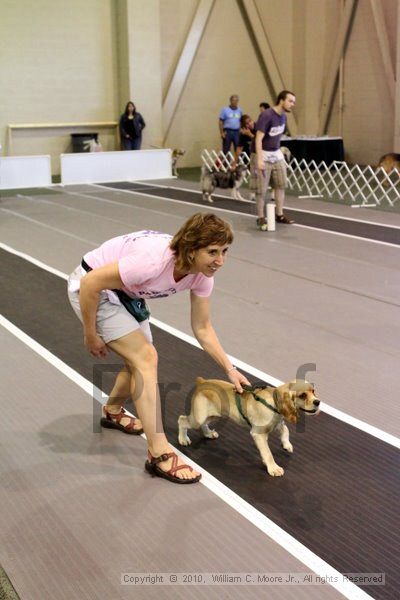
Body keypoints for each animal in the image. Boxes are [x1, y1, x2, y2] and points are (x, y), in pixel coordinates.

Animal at [178, 380, 318, 478]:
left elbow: (286, 431)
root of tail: (202, 382)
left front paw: (287, 445)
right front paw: (273, 468)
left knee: (203, 424)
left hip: (211, 416)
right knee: (182, 420)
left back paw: (208, 433)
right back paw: (183, 439)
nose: (318, 402)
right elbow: (268, 453)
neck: (273, 402)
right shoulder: (258, 434)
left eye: (313, 391)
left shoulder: (278, 424)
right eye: (302, 395)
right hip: (198, 418)